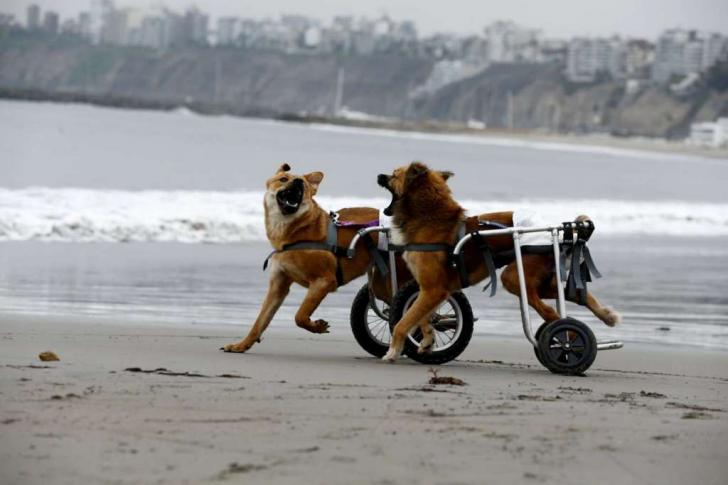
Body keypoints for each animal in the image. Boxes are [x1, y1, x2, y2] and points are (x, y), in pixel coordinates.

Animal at [222, 163, 398, 352]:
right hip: (381, 283)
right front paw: (241, 345)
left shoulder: (324, 281)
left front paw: (316, 327)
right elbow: (260, 321)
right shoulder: (278, 285)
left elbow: (300, 315)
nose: (298, 182)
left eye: (303, 184)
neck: (294, 233)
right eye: (283, 179)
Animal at [376, 161, 620, 362]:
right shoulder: (433, 290)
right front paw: (427, 340)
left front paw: (393, 350)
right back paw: (606, 316)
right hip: (539, 281)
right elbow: (423, 317)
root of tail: (560, 234)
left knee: (551, 313)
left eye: (395, 174)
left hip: (513, 277)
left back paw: (566, 341)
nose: (379, 175)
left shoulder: (433, 289)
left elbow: (404, 321)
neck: (429, 217)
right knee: (576, 295)